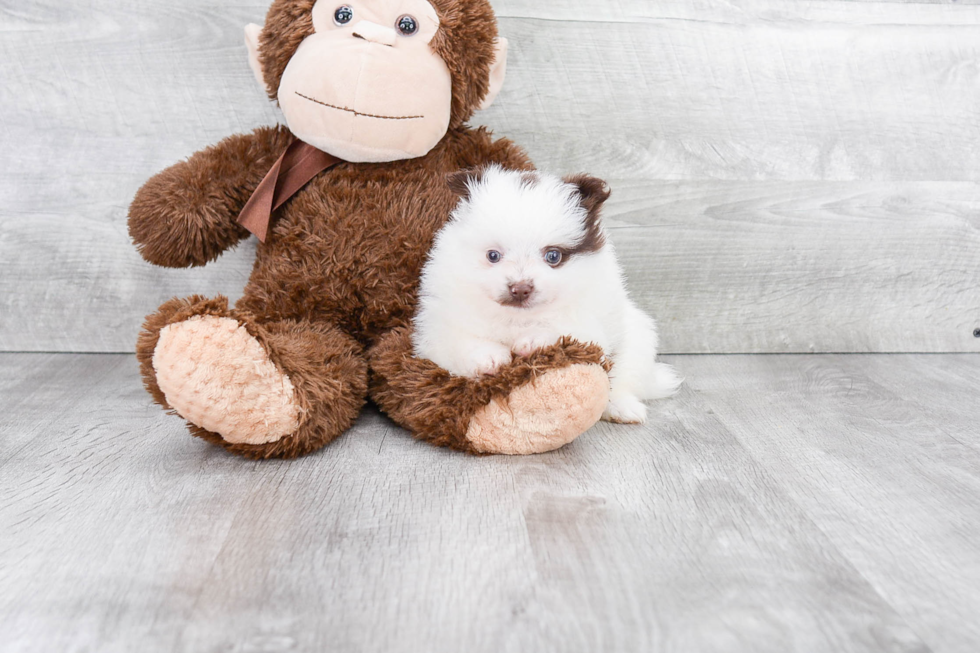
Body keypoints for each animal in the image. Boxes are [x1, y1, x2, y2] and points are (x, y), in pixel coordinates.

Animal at [410, 164, 676, 422]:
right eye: (493, 256)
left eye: (553, 256)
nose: (520, 289)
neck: (518, 318)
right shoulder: (438, 329)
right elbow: (461, 340)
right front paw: (489, 357)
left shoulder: (589, 323)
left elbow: (563, 328)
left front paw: (534, 339)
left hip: (637, 337)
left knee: (622, 379)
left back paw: (622, 407)